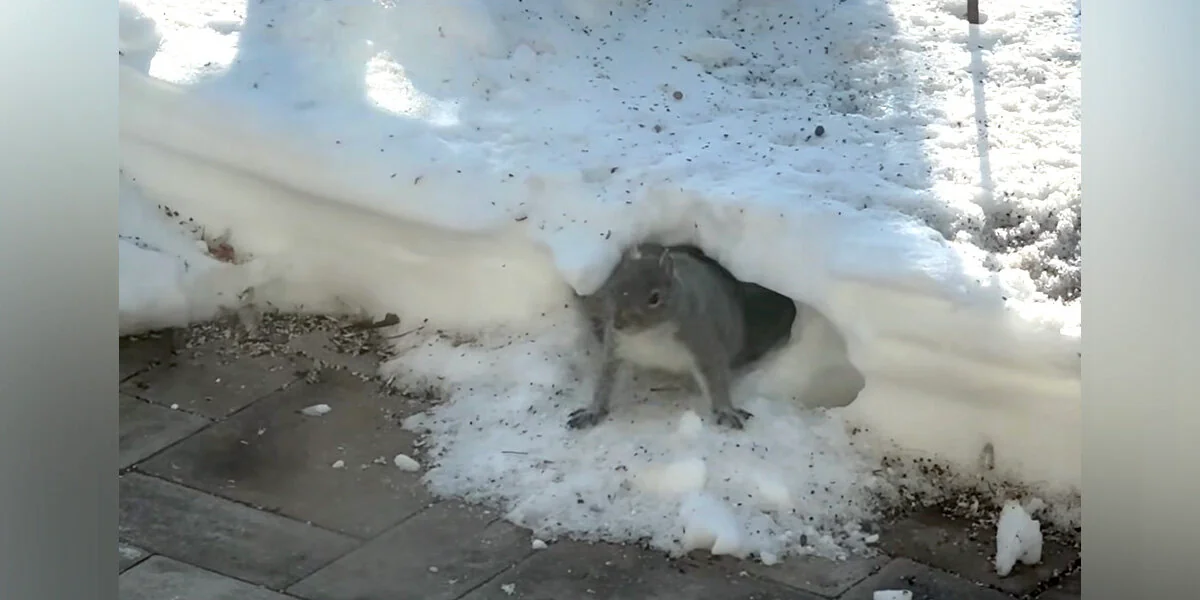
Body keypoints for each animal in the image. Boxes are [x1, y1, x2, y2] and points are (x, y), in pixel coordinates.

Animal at [570, 242, 798, 430]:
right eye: (613, 287)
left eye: (655, 298)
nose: (619, 323)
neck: (650, 336)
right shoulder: (616, 345)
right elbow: (606, 380)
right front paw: (592, 411)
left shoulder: (702, 339)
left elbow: (715, 377)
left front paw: (726, 411)